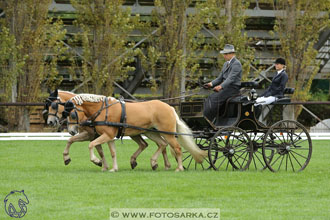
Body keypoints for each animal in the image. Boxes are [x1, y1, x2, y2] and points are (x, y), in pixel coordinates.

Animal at [63, 93, 206, 171]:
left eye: (73, 114)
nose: (71, 131)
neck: (103, 110)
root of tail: (169, 107)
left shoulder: (106, 135)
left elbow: (91, 145)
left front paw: (96, 160)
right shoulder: (108, 137)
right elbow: (112, 152)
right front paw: (113, 168)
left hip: (167, 133)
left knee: (177, 148)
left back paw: (179, 168)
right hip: (151, 132)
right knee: (162, 144)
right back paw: (154, 162)